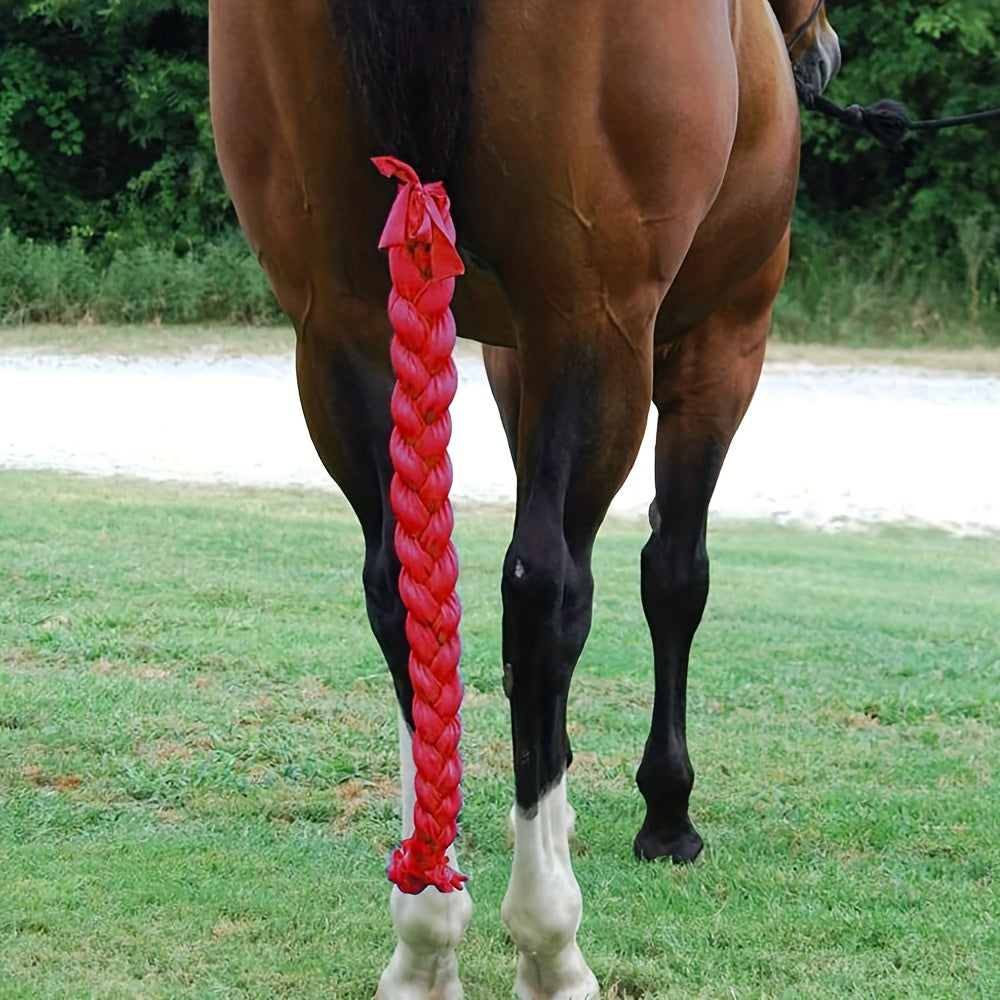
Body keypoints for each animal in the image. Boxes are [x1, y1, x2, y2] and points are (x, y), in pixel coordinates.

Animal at [208, 1, 841, 996]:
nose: (820, 58)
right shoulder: (724, 338)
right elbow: (674, 575)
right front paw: (666, 811)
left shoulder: (506, 353)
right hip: (595, 316)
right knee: (546, 591)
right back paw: (549, 938)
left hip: (337, 322)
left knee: (402, 591)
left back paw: (426, 932)